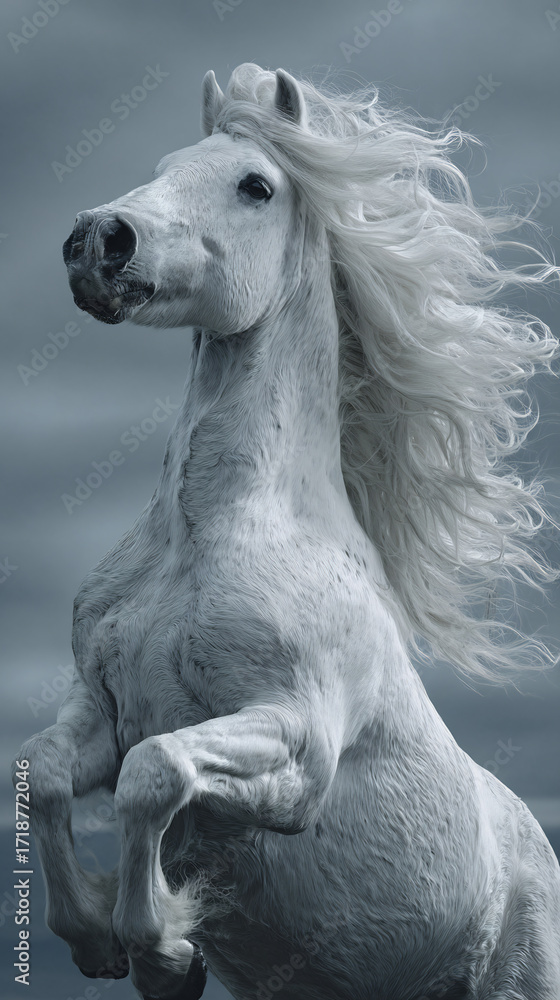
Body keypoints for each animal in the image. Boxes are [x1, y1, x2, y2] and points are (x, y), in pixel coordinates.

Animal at [13, 62, 560, 1000]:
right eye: (166, 166)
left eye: (255, 186)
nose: (99, 241)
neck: (206, 538)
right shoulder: (100, 710)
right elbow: (47, 776)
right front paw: (100, 943)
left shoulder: (298, 745)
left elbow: (155, 772)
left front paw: (164, 945)